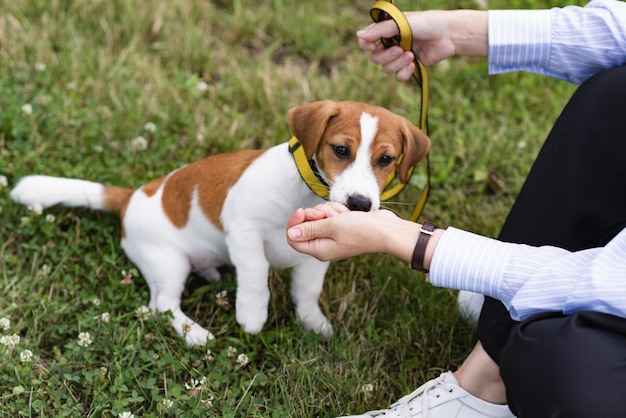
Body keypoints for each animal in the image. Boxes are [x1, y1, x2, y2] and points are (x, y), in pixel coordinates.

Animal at [9, 99, 428, 344]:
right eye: (340, 150)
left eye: (386, 160)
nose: (360, 205)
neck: (306, 192)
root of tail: (129, 199)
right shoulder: (242, 227)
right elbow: (256, 273)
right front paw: (253, 315)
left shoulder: (313, 255)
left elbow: (307, 291)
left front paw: (314, 323)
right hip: (167, 262)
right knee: (162, 305)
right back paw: (195, 334)